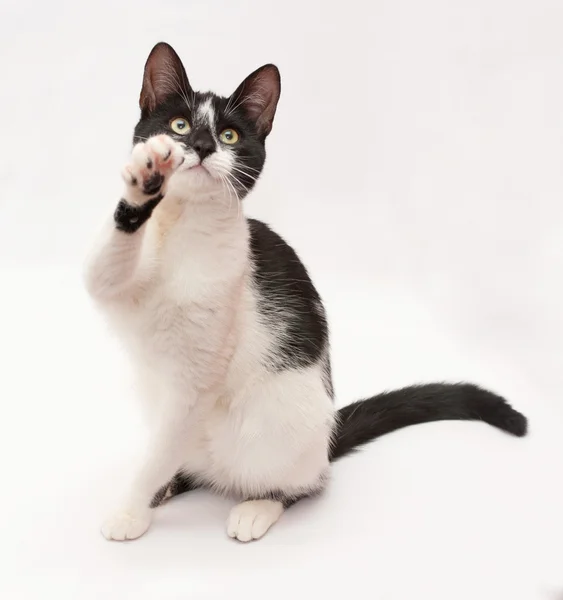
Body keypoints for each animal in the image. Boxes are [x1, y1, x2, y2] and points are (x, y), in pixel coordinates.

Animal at [83, 41, 528, 540]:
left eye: (230, 135)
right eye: (179, 125)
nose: (200, 146)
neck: (183, 226)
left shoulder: (196, 378)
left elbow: (156, 456)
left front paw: (129, 511)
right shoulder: (111, 282)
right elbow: (104, 266)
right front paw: (146, 180)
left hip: (284, 430)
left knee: (304, 483)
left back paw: (257, 507)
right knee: (186, 462)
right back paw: (174, 485)